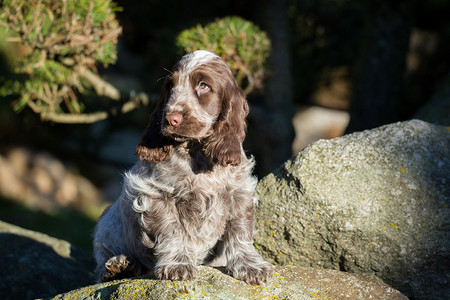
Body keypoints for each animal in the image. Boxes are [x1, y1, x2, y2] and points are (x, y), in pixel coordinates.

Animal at [93, 50, 272, 284]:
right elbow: (172, 230)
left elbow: (240, 230)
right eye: (171, 86)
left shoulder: (239, 192)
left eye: (203, 85)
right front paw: (177, 264)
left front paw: (251, 265)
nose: (171, 119)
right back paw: (120, 267)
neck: (196, 152)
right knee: (101, 264)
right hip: (106, 227)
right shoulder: (156, 193)